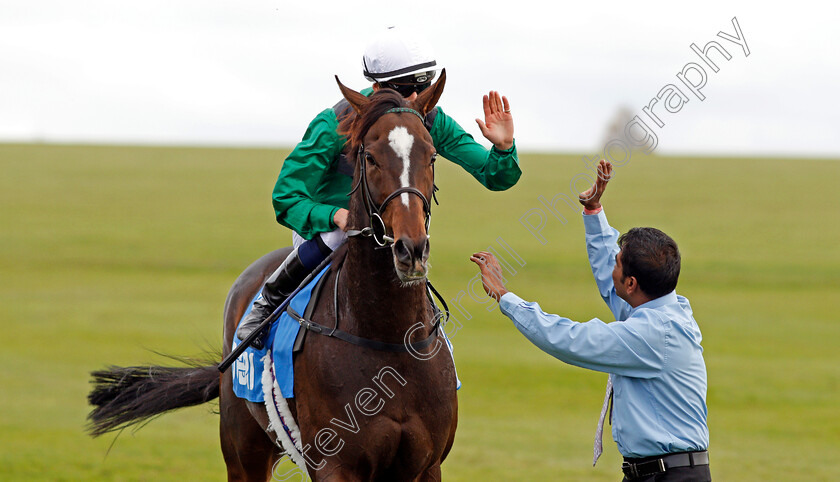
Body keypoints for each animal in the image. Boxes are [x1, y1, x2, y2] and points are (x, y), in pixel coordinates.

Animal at [87, 71, 460, 482]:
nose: (411, 250)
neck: (387, 340)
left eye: (431, 154)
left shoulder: (425, 466)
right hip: (243, 447)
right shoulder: (334, 464)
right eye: (370, 157)